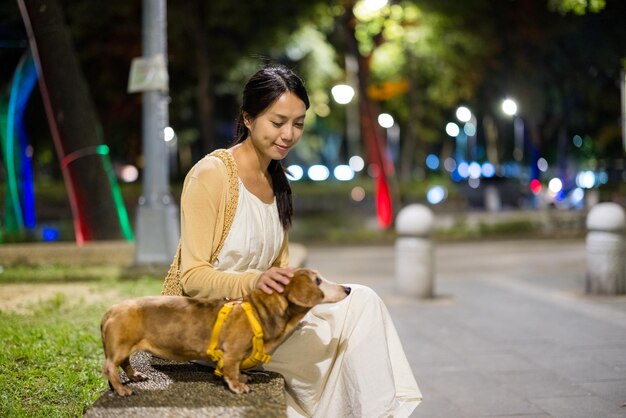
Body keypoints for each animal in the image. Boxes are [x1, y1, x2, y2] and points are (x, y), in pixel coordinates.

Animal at [100, 270, 348, 396]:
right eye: (318, 281)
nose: (347, 288)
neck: (259, 311)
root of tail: (111, 310)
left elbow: (237, 369)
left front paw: (243, 376)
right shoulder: (232, 352)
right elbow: (230, 369)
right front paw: (238, 385)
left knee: (125, 364)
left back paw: (135, 376)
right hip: (122, 346)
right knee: (110, 367)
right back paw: (122, 389)